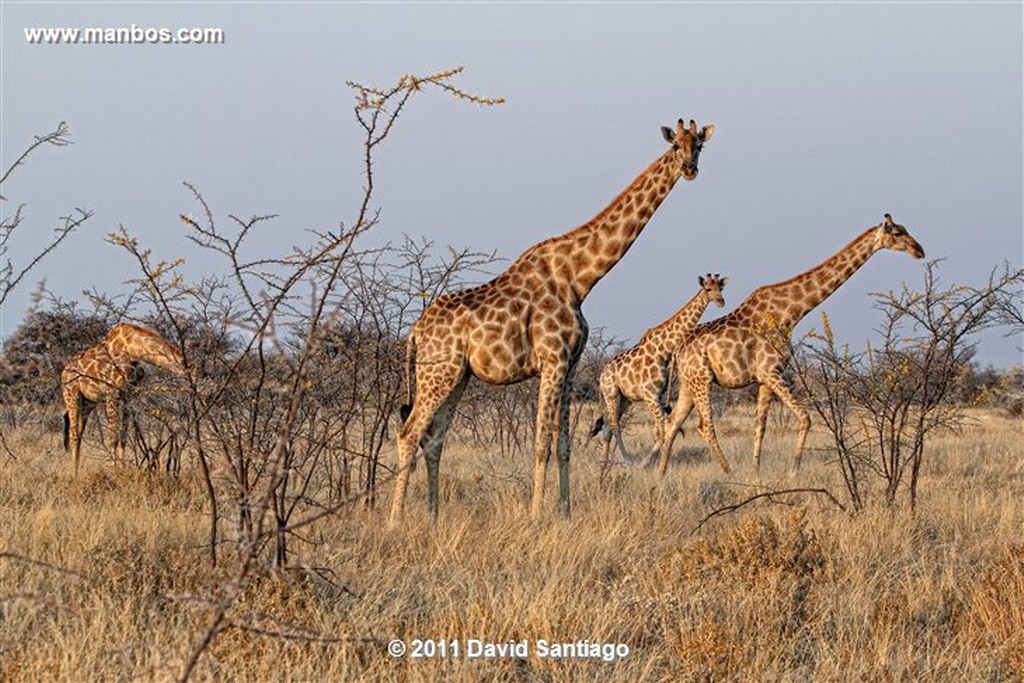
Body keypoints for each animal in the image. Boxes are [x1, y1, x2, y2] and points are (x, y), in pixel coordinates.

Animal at [61, 321, 186, 473]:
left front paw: (122, 469)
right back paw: (74, 474)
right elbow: (112, 438)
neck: (133, 351)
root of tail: (64, 371)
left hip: (87, 403)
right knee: (73, 435)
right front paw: (112, 471)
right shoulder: (112, 394)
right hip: (71, 395)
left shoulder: (128, 397)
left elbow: (123, 436)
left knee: (79, 435)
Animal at [589, 272, 724, 464]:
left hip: (625, 399)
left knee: (607, 427)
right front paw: (646, 462)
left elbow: (659, 431)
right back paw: (627, 459)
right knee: (614, 426)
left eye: (721, 288)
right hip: (612, 394)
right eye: (708, 289)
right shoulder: (650, 396)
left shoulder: (659, 395)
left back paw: (605, 462)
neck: (662, 351)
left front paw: (654, 461)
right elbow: (661, 431)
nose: (721, 301)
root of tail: (601, 375)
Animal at [655, 214, 929, 475]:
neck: (792, 312)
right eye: (897, 232)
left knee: (673, 422)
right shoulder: (772, 371)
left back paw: (661, 473)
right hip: (702, 379)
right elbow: (806, 418)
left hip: (689, 383)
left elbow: (760, 426)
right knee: (704, 426)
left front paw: (756, 473)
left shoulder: (765, 378)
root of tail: (678, 350)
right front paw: (793, 471)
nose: (920, 250)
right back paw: (727, 472)